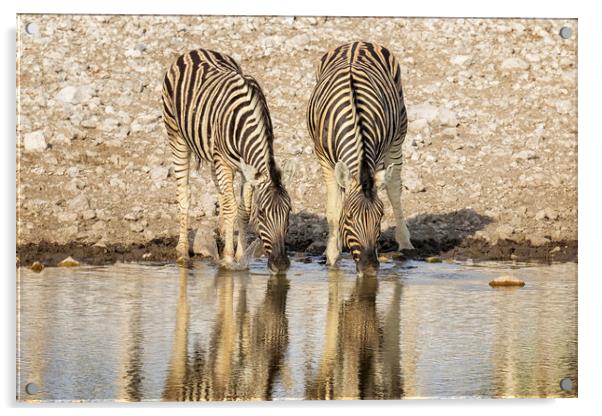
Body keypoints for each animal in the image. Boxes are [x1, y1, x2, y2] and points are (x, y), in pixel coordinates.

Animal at [159, 48, 290, 272]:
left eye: (289, 212)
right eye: (262, 214)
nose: (281, 264)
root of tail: (195, 50)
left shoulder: (247, 169)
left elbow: (243, 210)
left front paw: (240, 257)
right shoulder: (226, 164)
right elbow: (231, 209)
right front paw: (229, 258)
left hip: (213, 155)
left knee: (221, 191)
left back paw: (220, 234)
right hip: (177, 136)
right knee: (184, 193)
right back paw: (183, 251)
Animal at [304, 41, 412, 276]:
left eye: (380, 217)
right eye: (350, 217)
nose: (370, 269)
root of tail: (358, 43)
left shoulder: (377, 158)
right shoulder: (323, 159)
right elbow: (333, 209)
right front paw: (332, 255)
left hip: (398, 135)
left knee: (394, 188)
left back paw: (405, 242)